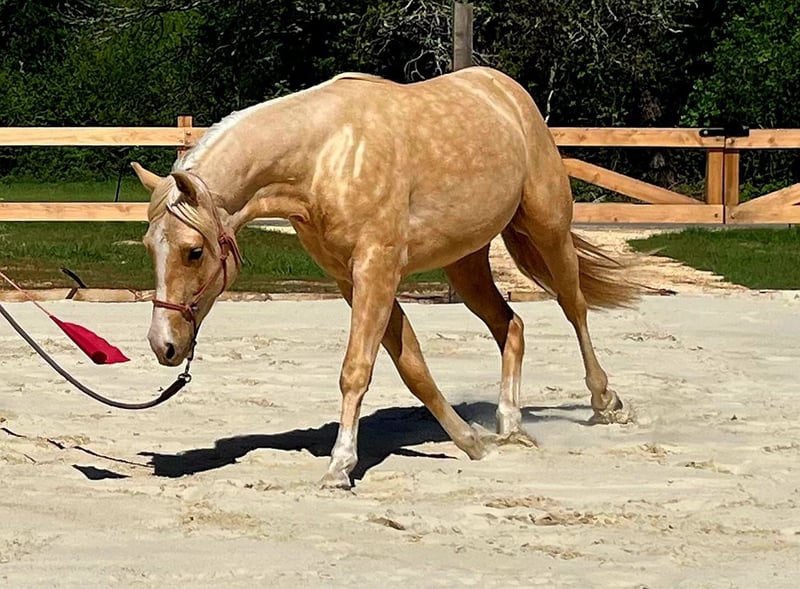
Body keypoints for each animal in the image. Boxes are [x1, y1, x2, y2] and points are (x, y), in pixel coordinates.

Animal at [132, 66, 637, 489]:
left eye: (194, 251)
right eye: (150, 247)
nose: (164, 345)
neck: (324, 158)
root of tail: (507, 92)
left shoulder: (377, 268)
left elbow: (356, 369)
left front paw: (339, 466)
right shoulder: (352, 279)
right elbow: (412, 365)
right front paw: (470, 442)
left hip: (548, 229)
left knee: (574, 307)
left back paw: (604, 402)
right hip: (466, 262)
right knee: (510, 325)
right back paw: (510, 425)